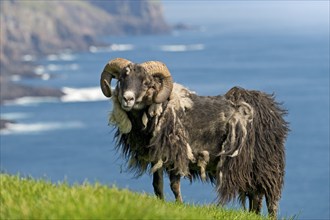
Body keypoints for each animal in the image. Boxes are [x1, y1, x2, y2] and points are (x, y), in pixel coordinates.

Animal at [99, 57, 288, 217]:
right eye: (121, 79)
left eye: (146, 83)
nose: (127, 99)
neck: (161, 109)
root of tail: (270, 109)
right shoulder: (157, 156)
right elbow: (157, 185)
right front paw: (161, 203)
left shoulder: (176, 154)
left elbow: (175, 185)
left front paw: (179, 206)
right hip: (251, 167)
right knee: (255, 195)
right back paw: (252, 215)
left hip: (266, 164)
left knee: (270, 197)